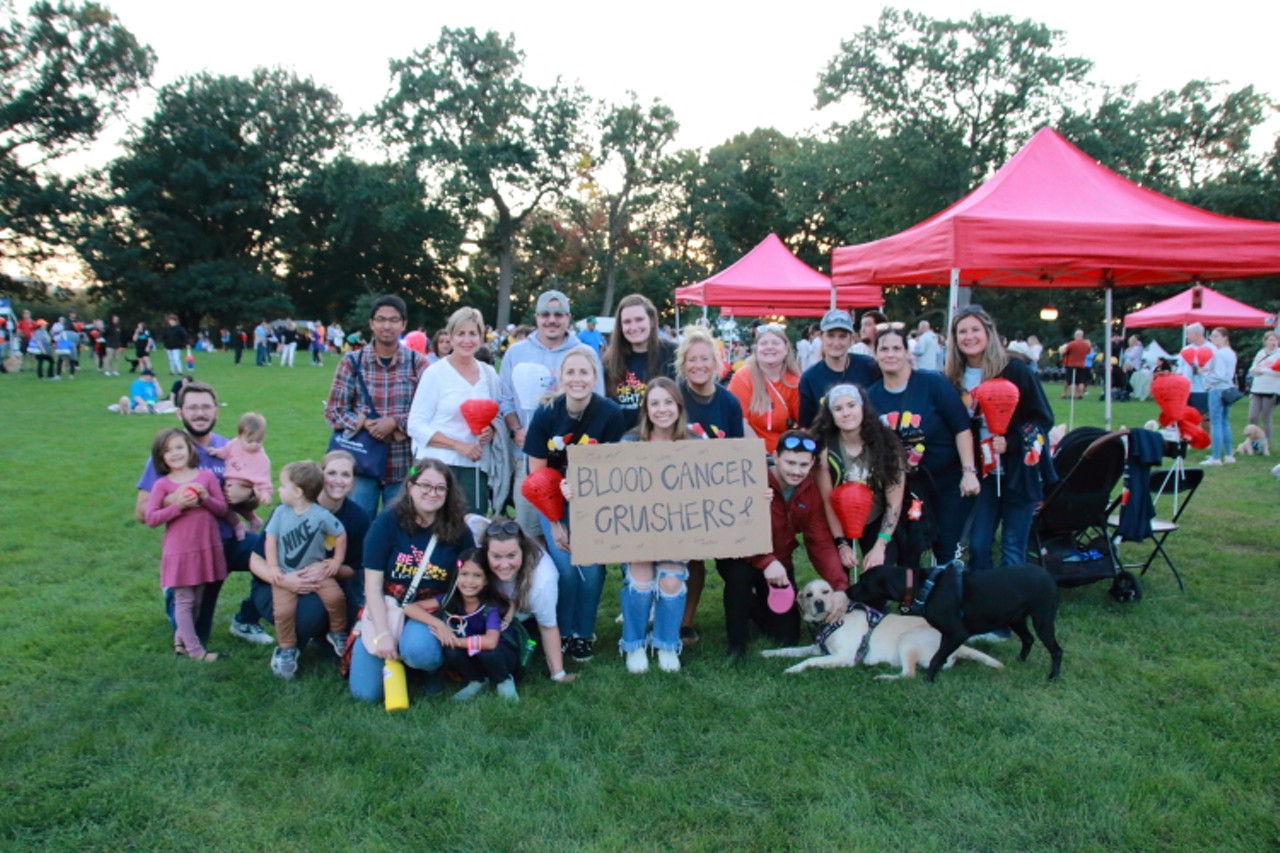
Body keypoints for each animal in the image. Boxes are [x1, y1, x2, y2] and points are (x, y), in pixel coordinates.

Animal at [757, 573, 998, 676]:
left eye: (825, 592)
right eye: (808, 594)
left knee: (909, 673)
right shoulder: (818, 648)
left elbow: (809, 661)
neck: (831, 621)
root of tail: (959, 646)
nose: (818, 603)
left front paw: (794, 669)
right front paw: (769, 653)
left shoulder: (843, 656)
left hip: (908, 639)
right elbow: (790, 650)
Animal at [849, 560, 1059, 681]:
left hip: (1043, 620)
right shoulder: (946, 634)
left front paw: (928, 680)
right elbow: (939, 655)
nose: (847, 591)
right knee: (1028, 639)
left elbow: (936, 658)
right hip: (1015, 619)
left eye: (864, 582)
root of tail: (1048, 575)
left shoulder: (957, 633)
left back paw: (1053, 677)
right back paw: (1020, 661)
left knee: (1057, 650)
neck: (923, 586)